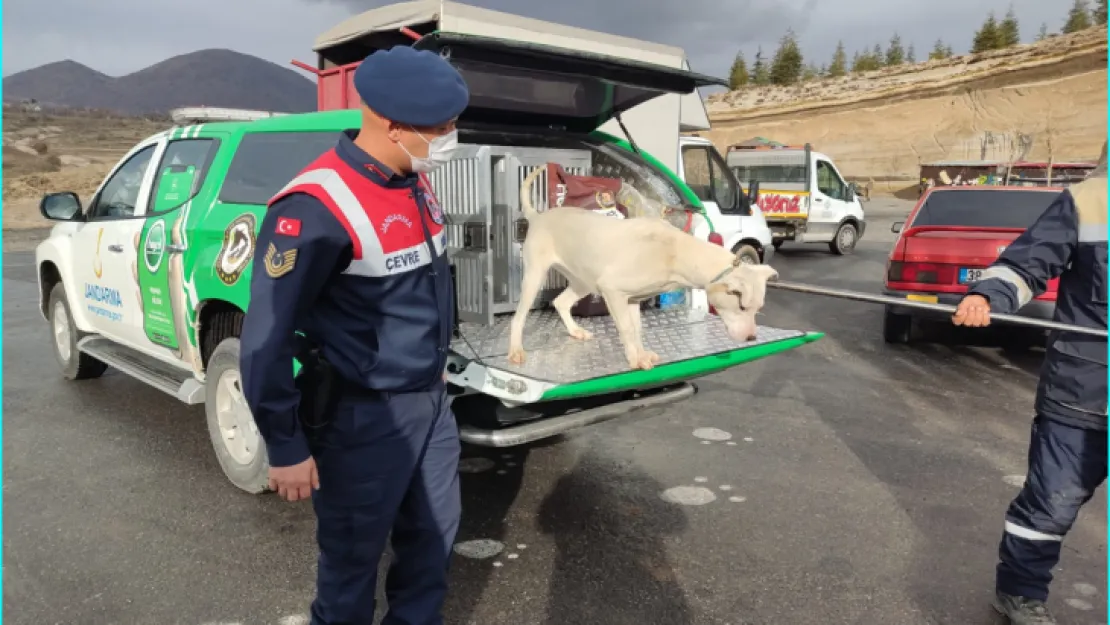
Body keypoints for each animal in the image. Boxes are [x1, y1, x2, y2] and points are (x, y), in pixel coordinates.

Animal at [508, 166, 777, 370]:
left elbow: (637, 329)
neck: (675, 251)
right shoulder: (613, 291)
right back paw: (516, 350)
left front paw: (641, 353)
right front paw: (634, 359)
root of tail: (538, 216)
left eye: (758, 308)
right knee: (519, 317)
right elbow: (627, 328)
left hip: (583, 280)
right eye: (741, 306)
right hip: (535, 276)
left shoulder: (633, 300)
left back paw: (575, 331)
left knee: (560, 302)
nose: (752, 337)